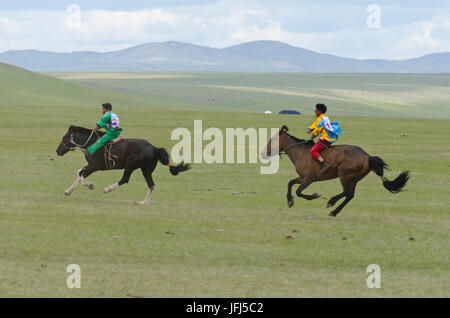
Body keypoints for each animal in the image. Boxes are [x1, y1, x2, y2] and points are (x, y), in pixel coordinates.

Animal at [56, 125, 190, 205]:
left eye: (64, 137)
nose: (57, 151)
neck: (91, 143)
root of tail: (154, 148)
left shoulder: (94, 166)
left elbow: (82, 174)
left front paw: (90, 186)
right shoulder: (90, 166)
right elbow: (80, 172)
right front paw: (68, 191)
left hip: (131, 165)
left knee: (125, 179)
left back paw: (107, 189)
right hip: (145, 169)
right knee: (151, 184)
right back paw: (143, 203)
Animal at [260, 125, 412, 217]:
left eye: (272, 139)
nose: (263, 153)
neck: (300, 152)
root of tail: (368, 156)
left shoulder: (308, 179)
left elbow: (298, 191)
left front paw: (314, 196)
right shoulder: (302, 178)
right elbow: (290, 183)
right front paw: (290, 201)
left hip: (344, 175)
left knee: (347, 192)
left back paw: (331, 202)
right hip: (354, 178)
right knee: (350, 195)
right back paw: (334, 211)